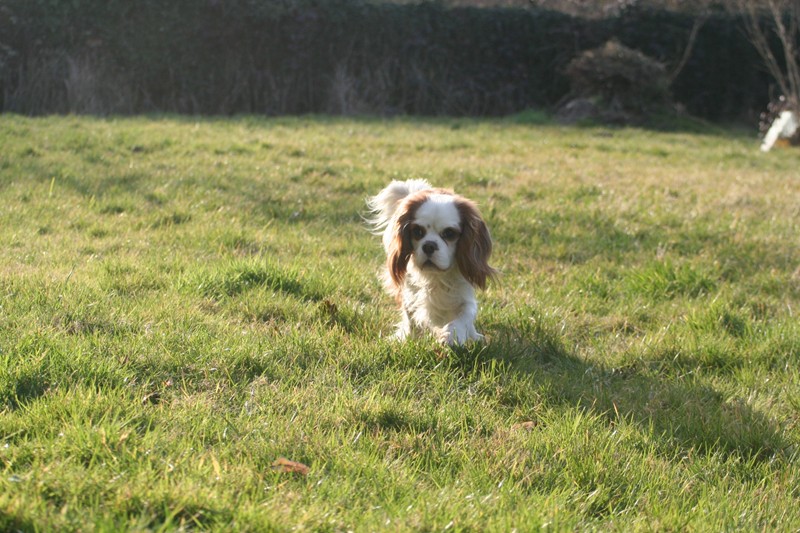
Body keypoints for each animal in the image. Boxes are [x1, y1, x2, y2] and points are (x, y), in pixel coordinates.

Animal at [368, 179, 494, 344]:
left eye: (449, 233)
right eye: (417, 231)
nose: (429, 245)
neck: (435, 277)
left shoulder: (465, 296)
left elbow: (464, 316)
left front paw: (452, 335)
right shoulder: (410, 292)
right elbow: (410, 317)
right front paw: (408, 338)